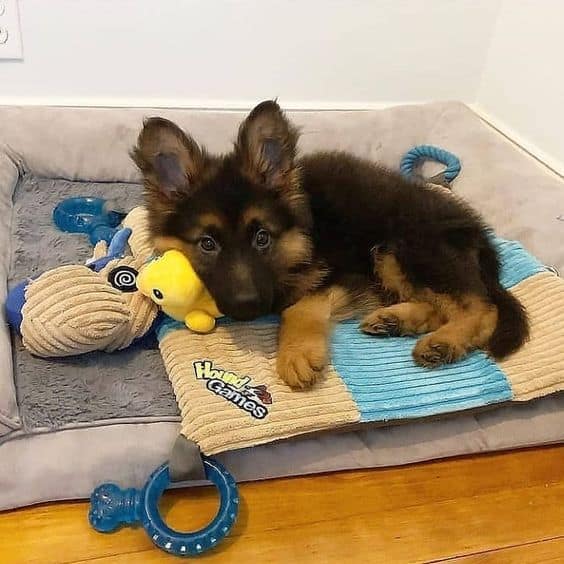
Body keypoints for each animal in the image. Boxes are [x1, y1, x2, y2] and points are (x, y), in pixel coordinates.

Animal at [133, 100, 528, 388]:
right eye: (207, 243)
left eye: (262, 238)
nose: (248, 308)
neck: (304, 238)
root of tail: (478, 233)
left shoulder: (346, 275)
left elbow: (298, 308)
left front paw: (295, 354)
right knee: (444, 304)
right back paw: (395, 320)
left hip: (402, 247)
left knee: (482, 306)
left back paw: (444, 342)